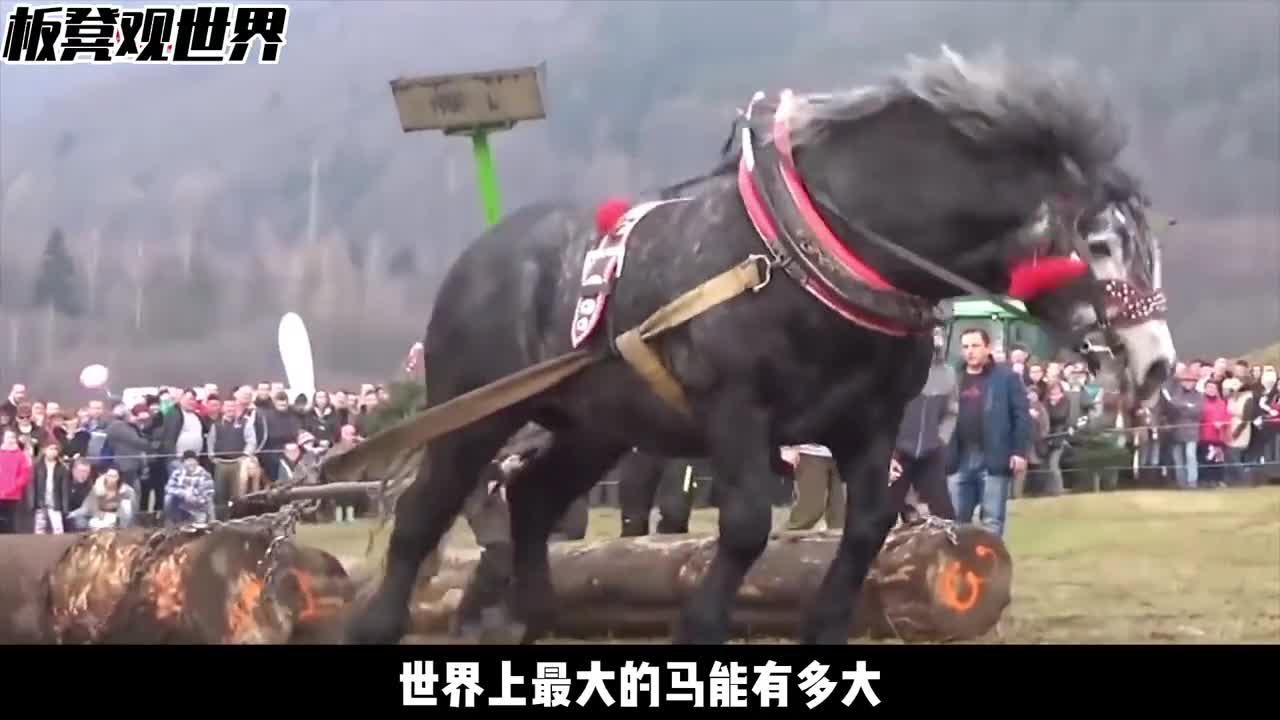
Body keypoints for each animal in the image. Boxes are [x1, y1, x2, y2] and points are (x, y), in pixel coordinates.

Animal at [341, 47, 1177, 645]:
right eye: (1101, 245)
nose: (1156, 361)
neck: (821, 251)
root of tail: (482, 254)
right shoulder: (736, 408)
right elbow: (745, 523)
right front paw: (702, 624)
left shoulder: (868, 422)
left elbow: (869, 522)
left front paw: (827, 623)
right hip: (472, 408)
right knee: (424, 513)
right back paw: (377, 624)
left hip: (597, 426)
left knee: (532, 497)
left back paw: (534, 614)